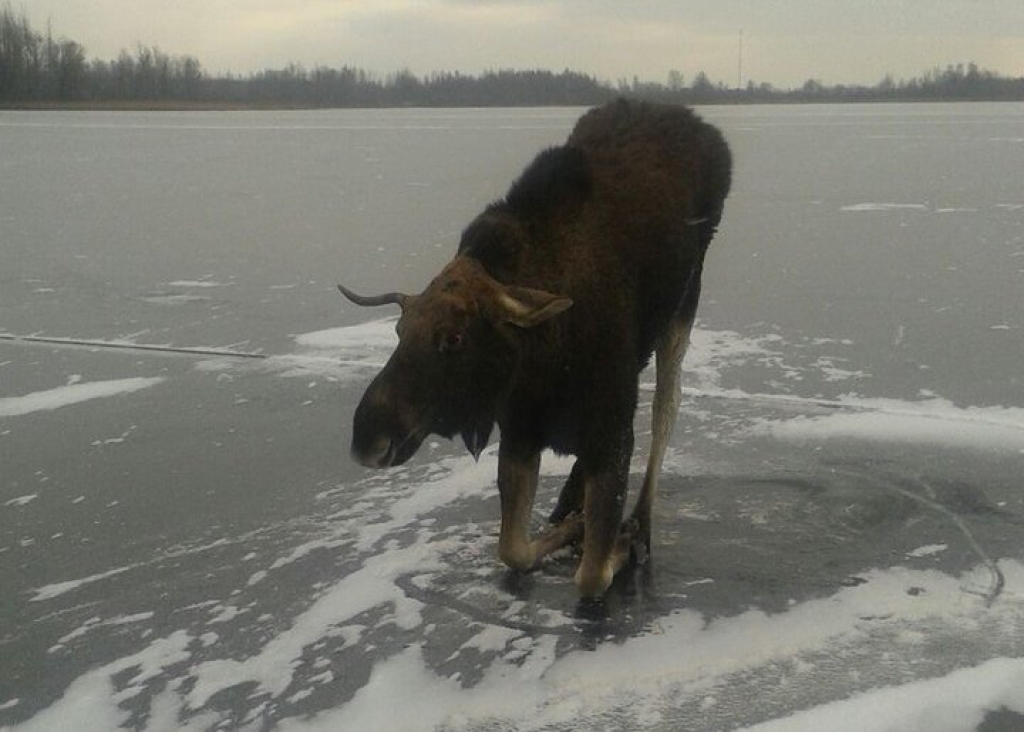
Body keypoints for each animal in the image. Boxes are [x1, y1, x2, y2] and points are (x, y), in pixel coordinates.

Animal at [339, 100, 733, 597]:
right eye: (398, 329)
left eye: (454, 338)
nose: (368, 438)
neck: (545, 361)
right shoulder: (520, 432)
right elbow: (513, 549)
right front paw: (569, 525)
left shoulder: (611, 430)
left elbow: (593, 573)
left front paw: (614, 539)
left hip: (682, 309)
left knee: (667, 411)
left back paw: (639, 524)